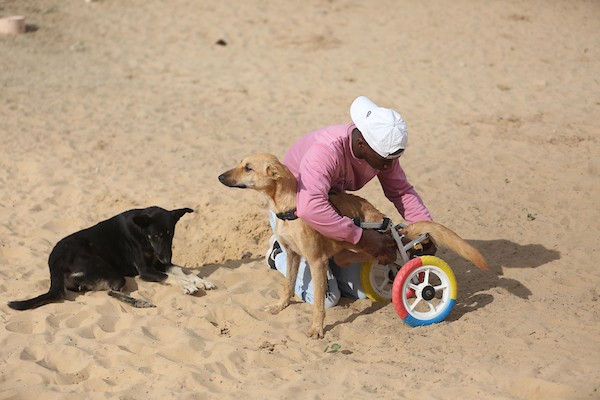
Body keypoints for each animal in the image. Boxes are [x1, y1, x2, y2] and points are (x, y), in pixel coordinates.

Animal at [8, 206, 214, 310]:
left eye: (170, 234)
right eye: (156, 236)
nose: (165, 258)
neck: (141, 232)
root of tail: (54, 263)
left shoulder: (159, 262)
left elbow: (180, 269)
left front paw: (200, 281)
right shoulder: (146, 270)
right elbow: (172, 275)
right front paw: (188, 285)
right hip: (111, 271)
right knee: (111, 292)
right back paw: (141, 302)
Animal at [219, 153, 488, 338]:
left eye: (248, 167)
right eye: (242, 163)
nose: (220, 176)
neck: (288, 208)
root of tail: (389, 225)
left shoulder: (316, 262)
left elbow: (318, 303)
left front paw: (317, 329)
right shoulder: (293, 255)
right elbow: (287, 286)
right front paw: (279, 306)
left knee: (402, 263)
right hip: (347, 254)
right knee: (384, 262)